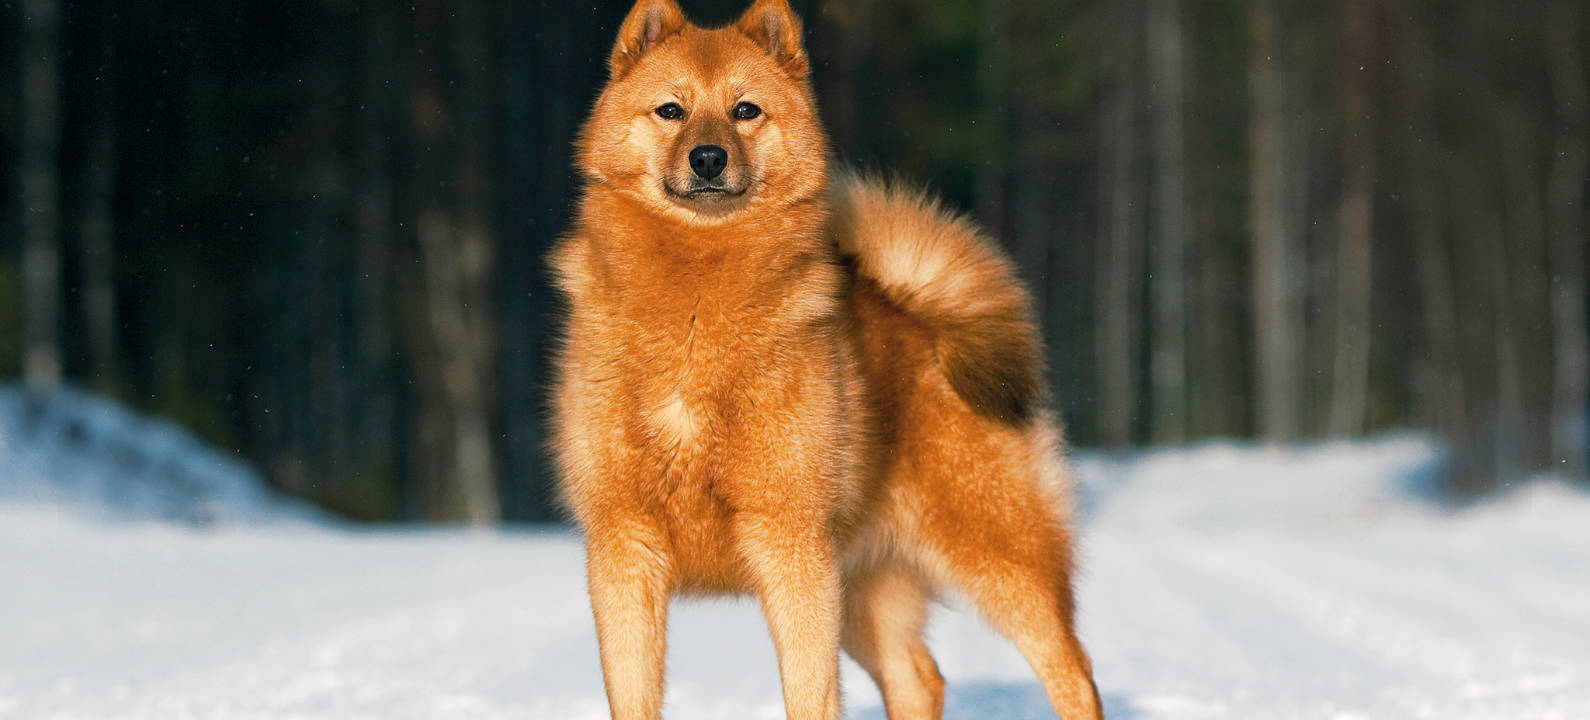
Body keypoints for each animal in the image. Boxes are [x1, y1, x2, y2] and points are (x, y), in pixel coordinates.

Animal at [553, 2, 1100, 715]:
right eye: (670, 110)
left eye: (746, 110)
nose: (708, 157)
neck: (696, 312)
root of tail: (926, 322)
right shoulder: (623, 549)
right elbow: (634, 695)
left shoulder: (794, 549)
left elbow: (810, 694)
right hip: (867, 587)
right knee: (918, 676)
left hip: (1001, 558)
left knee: (1073, 672)